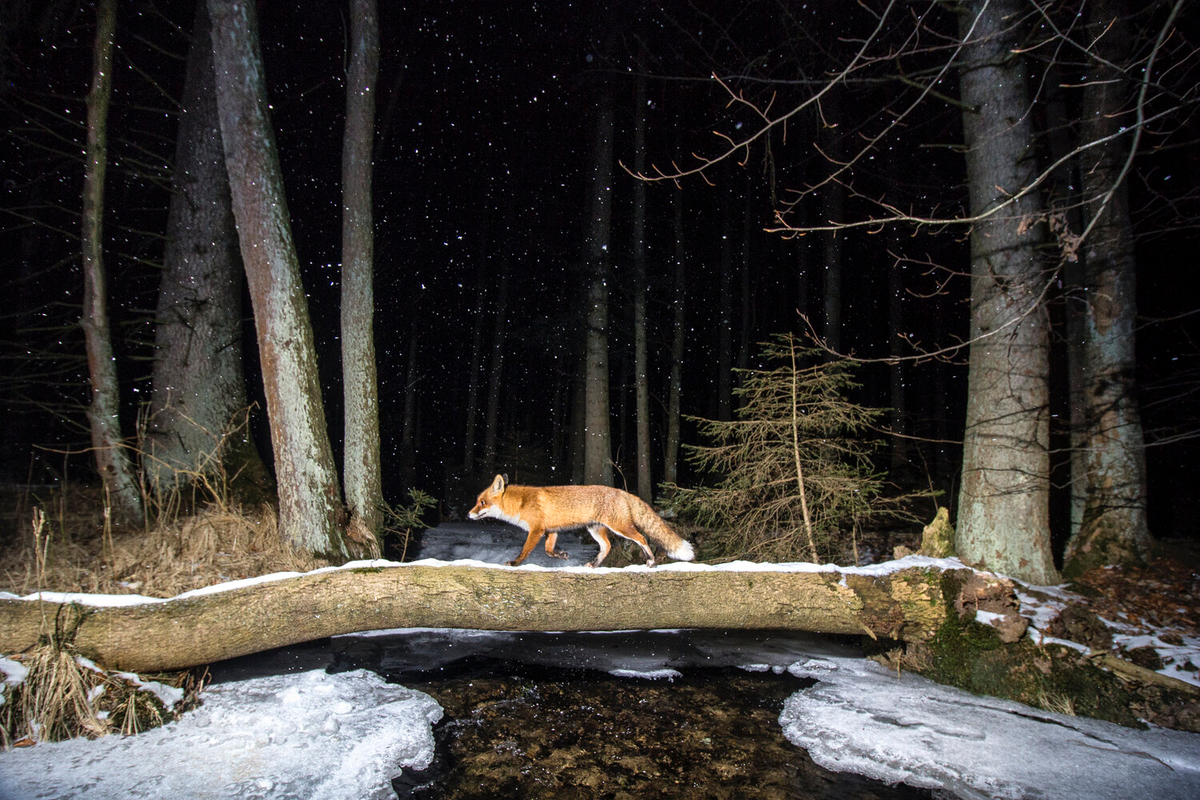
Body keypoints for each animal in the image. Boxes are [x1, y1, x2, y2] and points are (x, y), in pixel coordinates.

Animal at [465, 474, 696, 568]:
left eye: (482, 502)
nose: (468, 514)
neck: (521, 503)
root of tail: (622, 491)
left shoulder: (536, 530)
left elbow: (525, 551)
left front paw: (515, 563)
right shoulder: (551, 531)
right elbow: (548, 551)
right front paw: (561, 555)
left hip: (621, 527)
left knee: (643, 539)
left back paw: (650, 561)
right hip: (596, 530)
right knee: (607, 546)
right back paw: (594, 564)